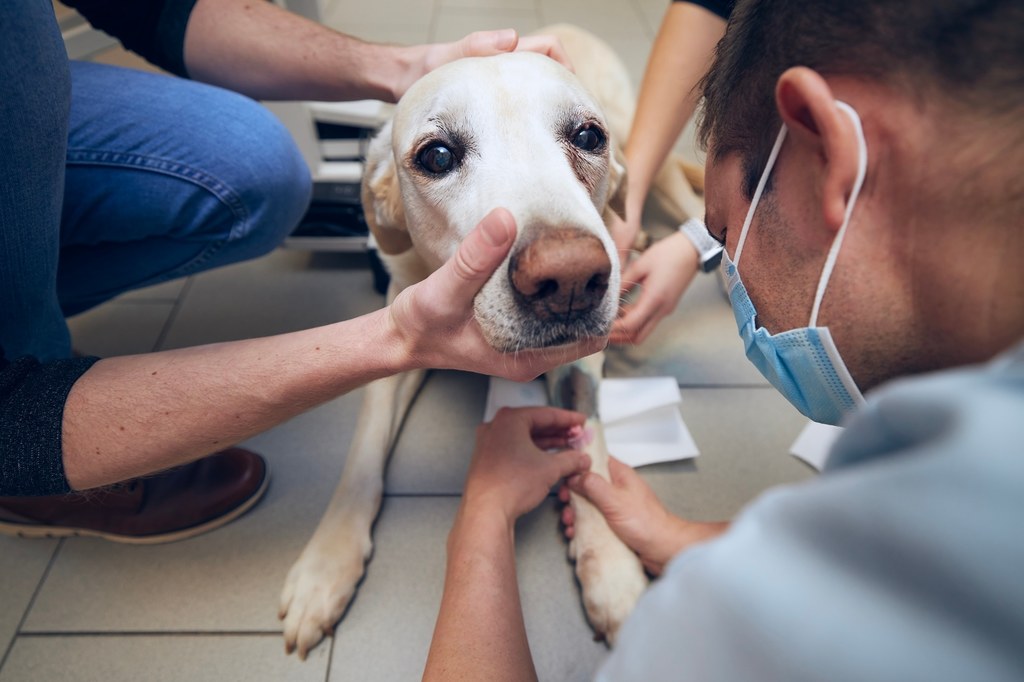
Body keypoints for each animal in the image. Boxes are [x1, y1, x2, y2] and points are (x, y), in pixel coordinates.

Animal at [278, 23, 704, 655]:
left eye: (586, 136)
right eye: (437, 155)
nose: (569, 280)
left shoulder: (582, 361)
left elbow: (590, 443)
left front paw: (610, 564)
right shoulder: (399, 331)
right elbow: (363, 450)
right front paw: (324, 565)